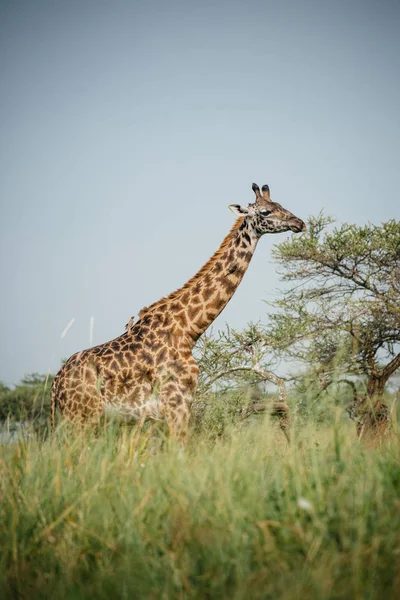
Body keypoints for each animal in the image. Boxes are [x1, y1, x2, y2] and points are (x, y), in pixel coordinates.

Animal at [50, 180, 306, 438]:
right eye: (265, 212)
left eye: (281, 205)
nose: (299, 223)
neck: (188, 328)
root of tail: (55, 385)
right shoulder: (176, 404)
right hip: (82, 418)